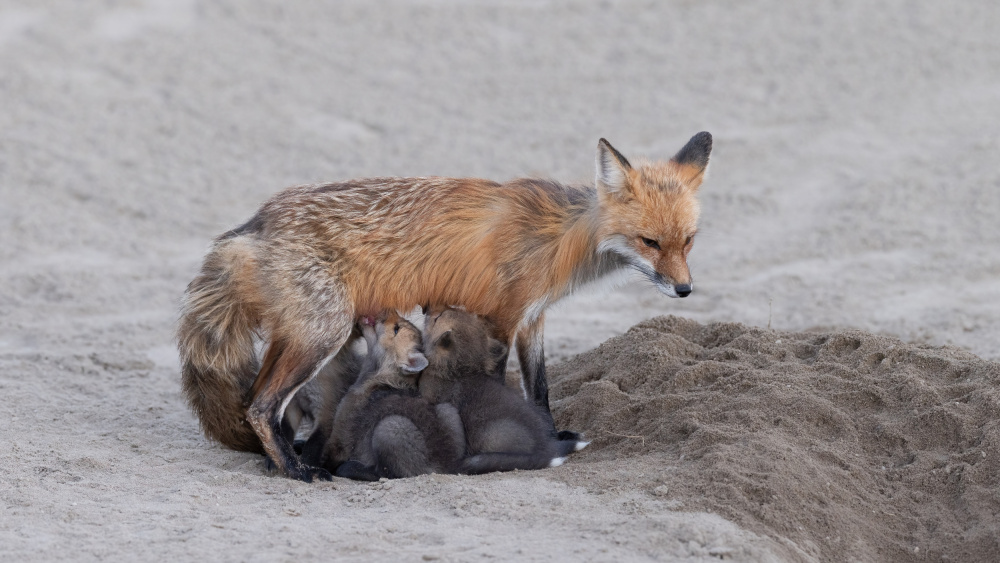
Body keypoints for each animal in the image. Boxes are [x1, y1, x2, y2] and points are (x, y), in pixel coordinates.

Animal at [178, 132, 712, 480]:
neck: (556, 237)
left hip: (306, 340)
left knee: (265, 402)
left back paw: (285, 459)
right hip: (321, 335)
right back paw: (294, 469)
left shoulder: (532, 318)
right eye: (649, 242)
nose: (685, 290)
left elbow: (539, 390)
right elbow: (494, 386)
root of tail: (256, 222)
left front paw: (548, 436)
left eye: (688, 240)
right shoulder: (501, 321)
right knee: (260, 405)